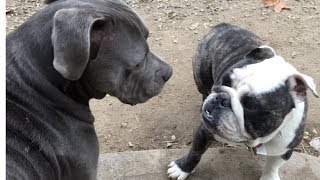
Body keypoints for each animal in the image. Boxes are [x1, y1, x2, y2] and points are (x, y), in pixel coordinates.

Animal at [168, 23, 318, 179]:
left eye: (250, 106)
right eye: (223, 81)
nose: (221, 99)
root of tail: (224, 25)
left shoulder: (285, 149)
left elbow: (273, 165)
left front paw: (269, 176)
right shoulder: (205, 130)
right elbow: (195, 152)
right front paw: (182, 168)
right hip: (201, 78)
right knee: (204, 90)